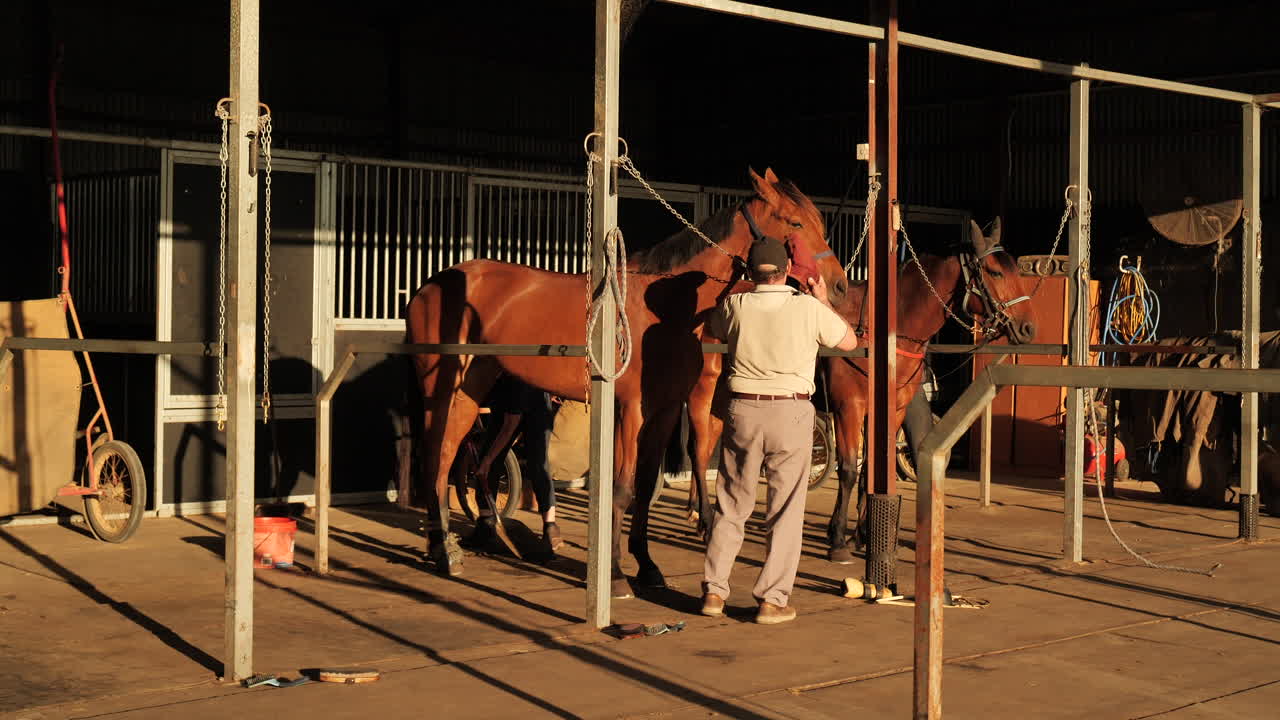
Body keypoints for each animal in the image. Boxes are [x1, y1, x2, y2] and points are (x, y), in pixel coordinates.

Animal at [405, 168, 849, 598]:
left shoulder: (665, 412)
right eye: (795, 222)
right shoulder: (632, 410)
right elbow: (620, 489)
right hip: (443, 393)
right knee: (439, 457)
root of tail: (431, 285)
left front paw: (648, 566)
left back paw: (460, 542)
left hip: (475, 391)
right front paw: (616, 575)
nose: (839, 285)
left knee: (458, 457)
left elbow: (647, 485)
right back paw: (444, 550)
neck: (666, 308)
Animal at [681, 218, 1040, 563]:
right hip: (704, 391)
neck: (881, 333)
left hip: (725, 398)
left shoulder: (891, 410)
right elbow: (849, 470)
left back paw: (698, 512)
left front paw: (866, 535)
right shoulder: (848, 407)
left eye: (1014, 270)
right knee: (698, 451)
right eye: (995, 271)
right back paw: (708, 522)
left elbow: (871, 469)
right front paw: (839, 538)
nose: (1027, 328)